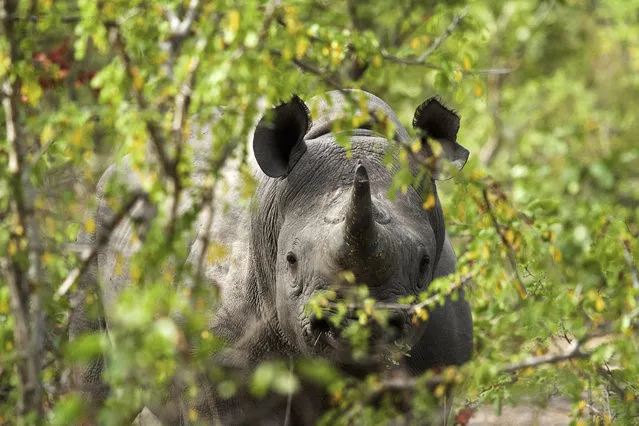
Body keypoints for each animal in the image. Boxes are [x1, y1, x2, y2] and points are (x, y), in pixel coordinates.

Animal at [70, 89, 476, 422]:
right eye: (291, 261)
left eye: (424, 265)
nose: (358, 327)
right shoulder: (222, 367)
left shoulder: (433, 375)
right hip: (98, 218)